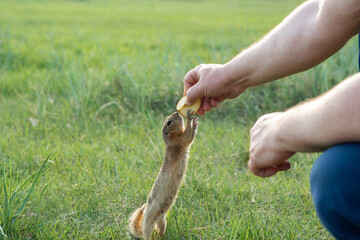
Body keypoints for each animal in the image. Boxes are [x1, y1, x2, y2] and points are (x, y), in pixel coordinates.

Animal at [128, 110, 198, 240]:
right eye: (169, 122)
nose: (177, 112)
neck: (170, 140)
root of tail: (144, 208)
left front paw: (195, 123)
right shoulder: (180, 141)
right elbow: (188, 135)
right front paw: (190, 118)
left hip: (162, 220)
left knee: (160, 229)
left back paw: (161, 235)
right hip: (148, 223)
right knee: (146, 233)